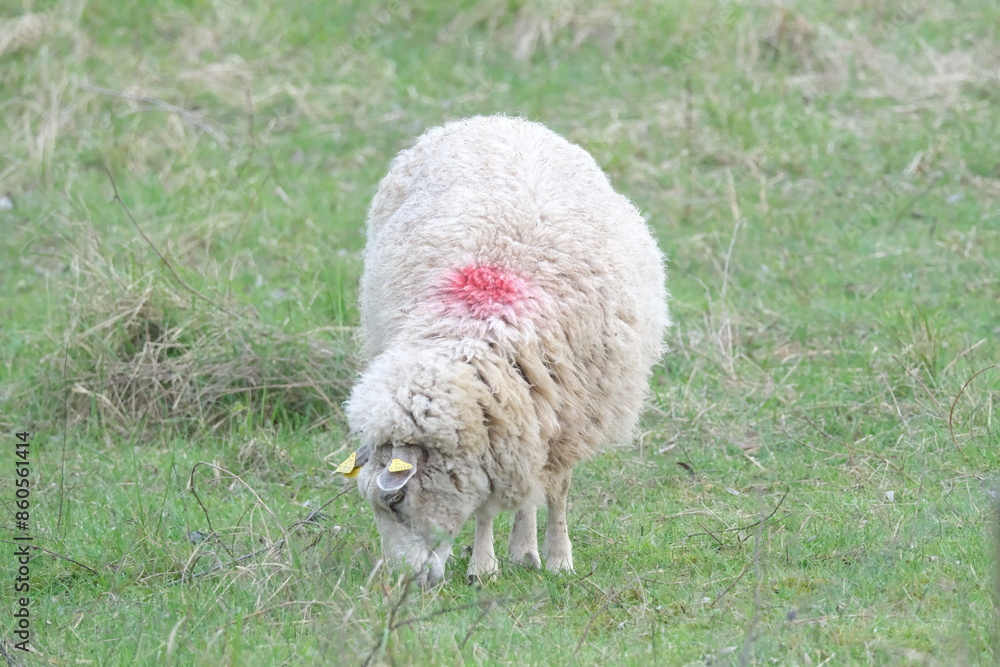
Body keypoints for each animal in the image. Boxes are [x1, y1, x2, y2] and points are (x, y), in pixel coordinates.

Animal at [337, 115, 669, 586]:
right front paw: (486, 564)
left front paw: (557, 557)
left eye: (396, 502)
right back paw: (521, 550)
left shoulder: (566, 419)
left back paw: (527, 551)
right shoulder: (500, 424)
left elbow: (558, 490)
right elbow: (487, 505)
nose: (406, 582)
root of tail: (495, 120)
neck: (480, 321)